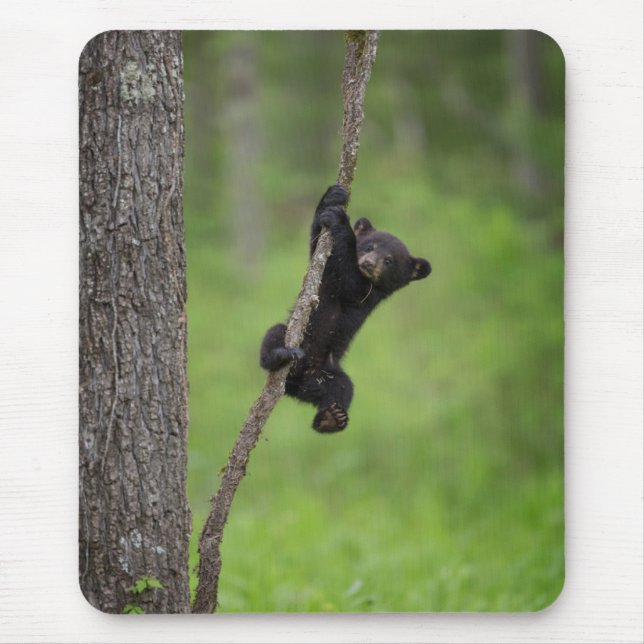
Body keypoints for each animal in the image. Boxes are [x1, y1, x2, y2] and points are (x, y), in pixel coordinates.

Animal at [260, 184, 431, 433]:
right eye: (369, 246)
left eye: (389, 260)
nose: (368, 263)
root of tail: (297, 384)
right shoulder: (324, 273)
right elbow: (317, 245)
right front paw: (332, 197)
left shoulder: (368, 294)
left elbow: (348, 279)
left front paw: (341, 221)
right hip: (294, 338)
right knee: (274, 335)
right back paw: (281, 354)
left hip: (330, 371)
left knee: (343, 388)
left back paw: (331, 418)